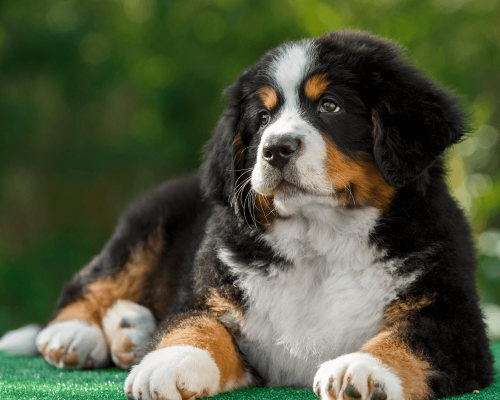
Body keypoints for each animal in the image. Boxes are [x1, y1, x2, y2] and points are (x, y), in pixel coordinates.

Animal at [0, 28, 492, 400]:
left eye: (330, 106)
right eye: (263, 117)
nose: (276, 149)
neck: (321, 241)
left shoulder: (453, 318)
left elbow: (409, 338)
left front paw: (361, 370)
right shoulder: (216, 294)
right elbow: (196, 326)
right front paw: (168, 362)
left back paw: (131, 331)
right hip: (146, 224)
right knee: (92, 281)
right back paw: (75, 335)